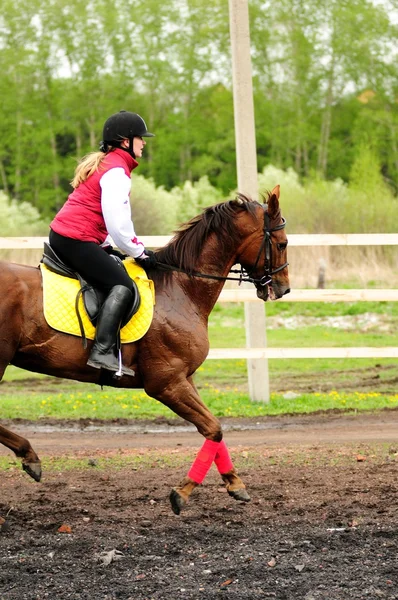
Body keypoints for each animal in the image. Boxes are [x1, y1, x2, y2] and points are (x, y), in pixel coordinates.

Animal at [0, 185, 290, 512]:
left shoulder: (185, 379)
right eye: (282, 243)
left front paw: (234, 483)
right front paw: (182, 492)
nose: (284, 288)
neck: (180, 289)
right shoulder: (166, 383)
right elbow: (213, 428)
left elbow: (214, 430)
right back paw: (28, 455)